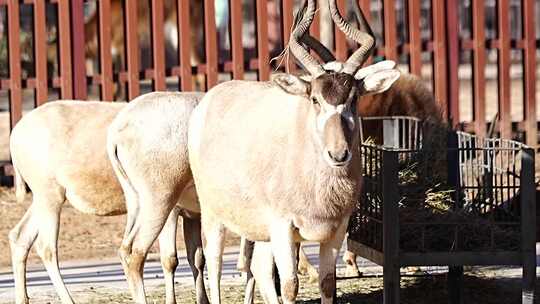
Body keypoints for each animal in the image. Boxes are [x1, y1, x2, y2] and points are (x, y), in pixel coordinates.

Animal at [8, 92, 209, 304]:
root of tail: (17, 133)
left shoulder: (193, 215)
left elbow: (197, 258)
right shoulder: (174, 210)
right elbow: (170, 259)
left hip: (44, 198)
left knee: (20, 236)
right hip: (50, 196)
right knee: (47, 248)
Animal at [188, 1, 398, 302]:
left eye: (354, 98)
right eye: (315, 99)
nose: (338, 155)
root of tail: (207, 102)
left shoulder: (335, 231)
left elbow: (327, 283)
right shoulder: (283, 227)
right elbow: (290, 285)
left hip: (262, 231)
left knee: (259, 268)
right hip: (214, 214)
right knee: (214, 263)